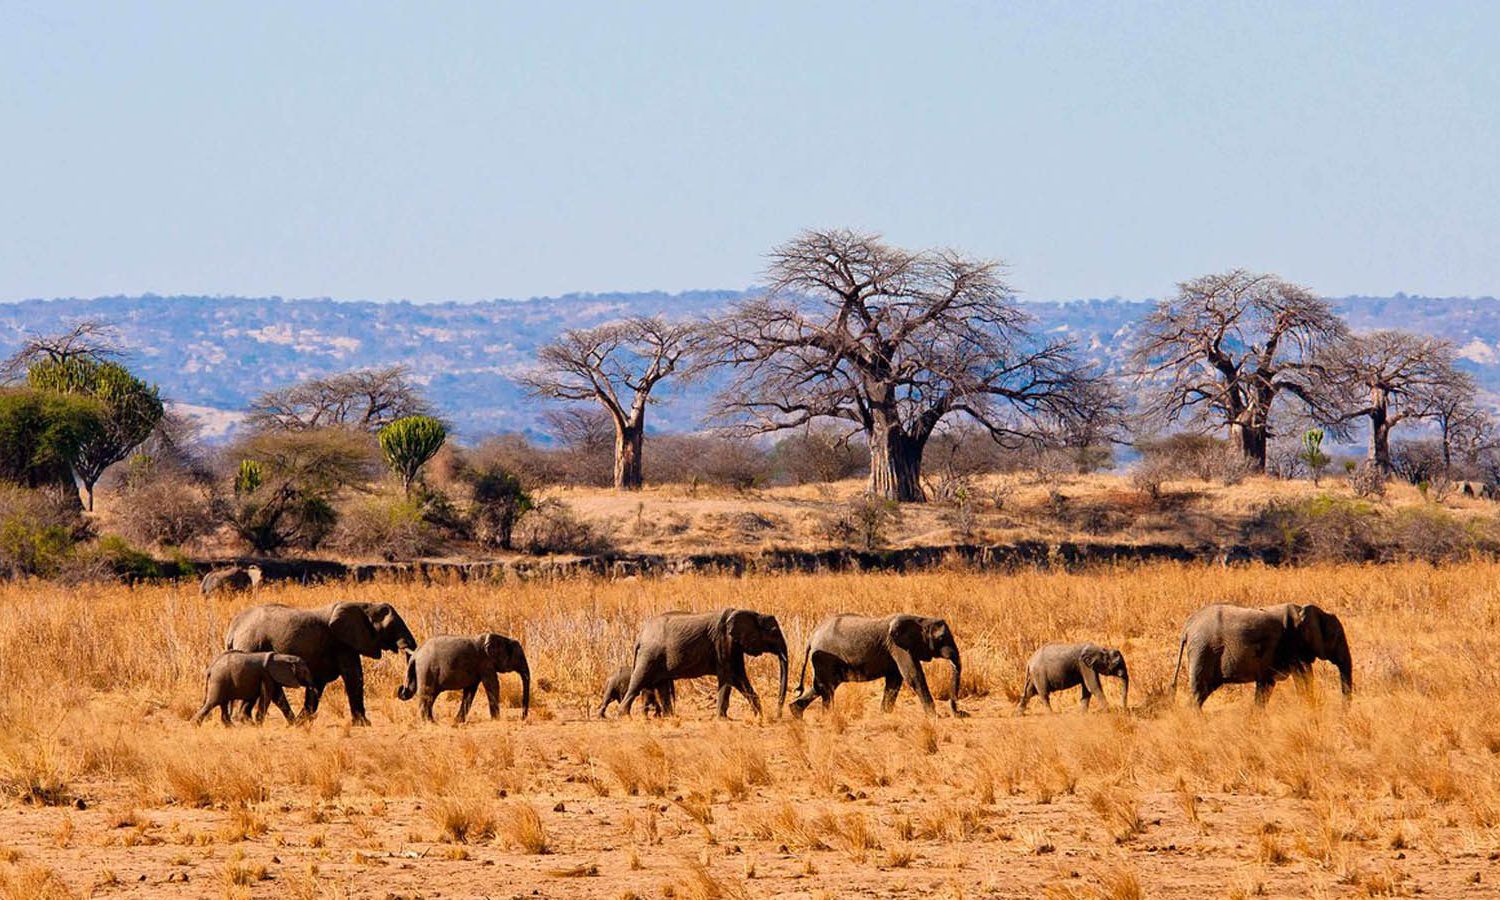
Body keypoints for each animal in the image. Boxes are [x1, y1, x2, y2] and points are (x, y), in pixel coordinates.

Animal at [219, 606, 417, 723]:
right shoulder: (342, 643)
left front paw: (305, 721)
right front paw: (364, 724)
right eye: (391, 627)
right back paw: (246, 721)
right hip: (251, 646)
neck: (365, 606)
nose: (401, 690)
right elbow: (354, 677)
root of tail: (232, 630)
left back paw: (289, 722)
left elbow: (318, 684)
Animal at [399, 633, 534, 723]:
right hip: (426, 670)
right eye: (519, 657)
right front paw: (497, 720)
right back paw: (429, 723)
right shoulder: (485, 663)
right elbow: (493, 685)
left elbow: (470, 690)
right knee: (427, 695)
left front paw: (458, 721)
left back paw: (432, 721)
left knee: (430, 697)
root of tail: (415, 654)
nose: (522, 718)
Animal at [618, 609, 792, 720]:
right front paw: (722, 719)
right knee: (638, 681)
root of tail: (640, 636)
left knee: (661, 685)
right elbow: (728, 677)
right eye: (774, 632)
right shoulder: (723, 642)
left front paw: (759, 716)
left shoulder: (734, 646)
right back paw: (624, 716)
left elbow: (740, 678)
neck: (753, 613)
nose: (778, 716)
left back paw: (670, 717)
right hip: (650, 655)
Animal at [792, 612, 966, 717]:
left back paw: (796, 713)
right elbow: (913, 676)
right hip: (825, 659)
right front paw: (933, 716)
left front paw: (885, 714)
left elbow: (895, 680)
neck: (921, 620)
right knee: (826, 687)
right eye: (941, 638)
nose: (961, 712)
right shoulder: (898, 647)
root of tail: (812, 636)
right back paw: (827, 716)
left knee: (822, 686)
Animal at [1176, 600, 1356, 708]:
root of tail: (1187, 627)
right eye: (1338, 637)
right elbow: (1303, 676)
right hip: (1202, 650)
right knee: (1199, 691)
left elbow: (1266, 686)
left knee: (1203, 691)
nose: (1343, 713)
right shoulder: (1292, 645)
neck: (1303, 611)